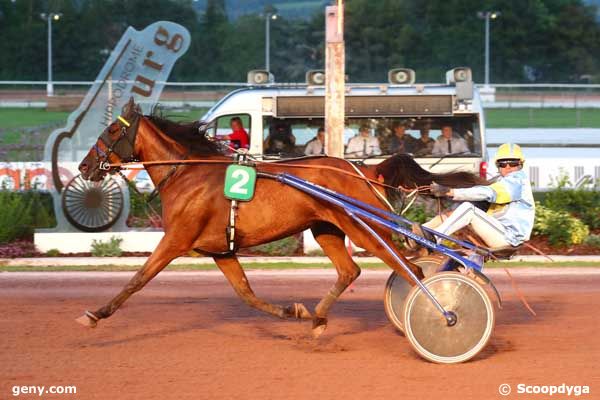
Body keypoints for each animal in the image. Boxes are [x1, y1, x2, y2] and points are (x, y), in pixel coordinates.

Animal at [76, 99, 488, 338]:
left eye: (112, 129)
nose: (83, 166)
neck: (187, 173)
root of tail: (363, 169)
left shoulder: (176, 239)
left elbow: (137, 280)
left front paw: (95, 314)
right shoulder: (222, 251)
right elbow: (247, 294)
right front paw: (294, 310)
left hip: (363, 228)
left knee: (410, 269)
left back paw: (437, 313)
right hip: (326, 228)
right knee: (350, 271)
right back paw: (318, 319)